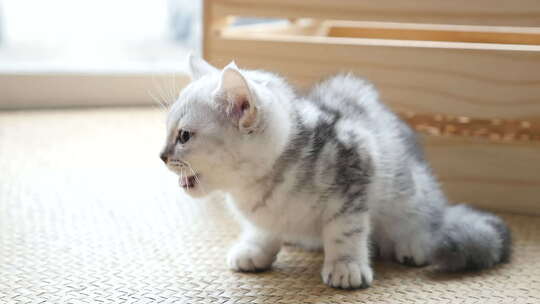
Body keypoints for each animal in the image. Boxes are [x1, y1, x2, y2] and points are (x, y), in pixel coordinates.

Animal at [159, 55, 510, 290]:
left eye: (184, 136)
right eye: (167, 130)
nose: (161, 156)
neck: (257, 187)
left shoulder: (355, 171)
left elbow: (345, 231)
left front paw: (346, 266)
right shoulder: (265, 214)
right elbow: (263, 227)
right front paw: (256, 249)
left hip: (412, 193)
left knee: (425, 219)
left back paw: (413, 244)